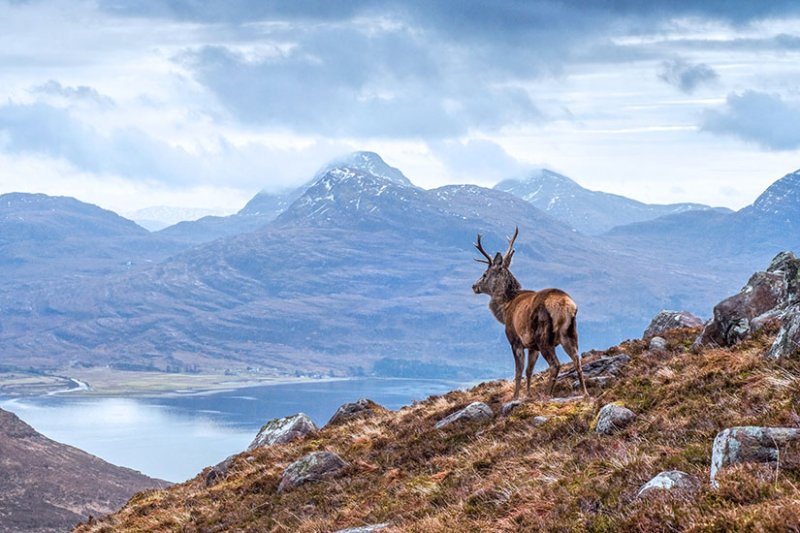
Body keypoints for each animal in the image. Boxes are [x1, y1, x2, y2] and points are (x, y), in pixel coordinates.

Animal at [472, 227, 589, 400]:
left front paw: (515, 397)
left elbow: (518, 371)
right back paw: (584, 392)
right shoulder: (532, 346)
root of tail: (566, 305)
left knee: (555, 364)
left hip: (543, 335)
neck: (504, 310)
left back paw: (547, 394)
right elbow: (529, 371)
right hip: (570, 332)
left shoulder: (515, 340)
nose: (474, 286)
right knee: (577, 359)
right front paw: (528, 394)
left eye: (485, 274)